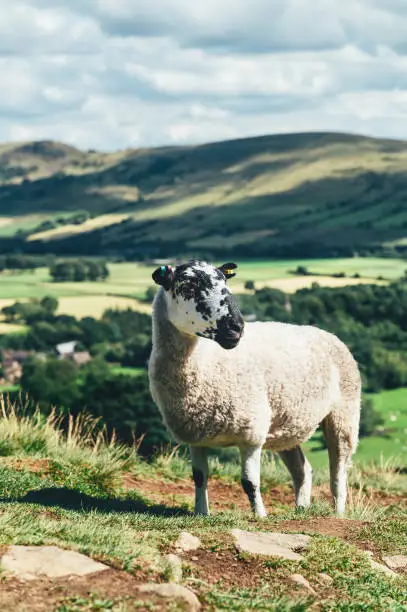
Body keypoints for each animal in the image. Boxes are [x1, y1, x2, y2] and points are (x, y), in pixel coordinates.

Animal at [149, 258, 364, 516]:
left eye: (225, 282)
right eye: (189, 287)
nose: (236, 327)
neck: (205, 360)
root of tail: (327, 333)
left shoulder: (251, 433)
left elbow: (249, 482)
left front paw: (260, 515)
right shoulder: (196, 436)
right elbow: (199, 477)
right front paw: (201, 512)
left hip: (344, 414)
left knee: (339, 472)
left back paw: (338, 512)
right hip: (287, 425)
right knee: (302, 469)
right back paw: (301, 509)